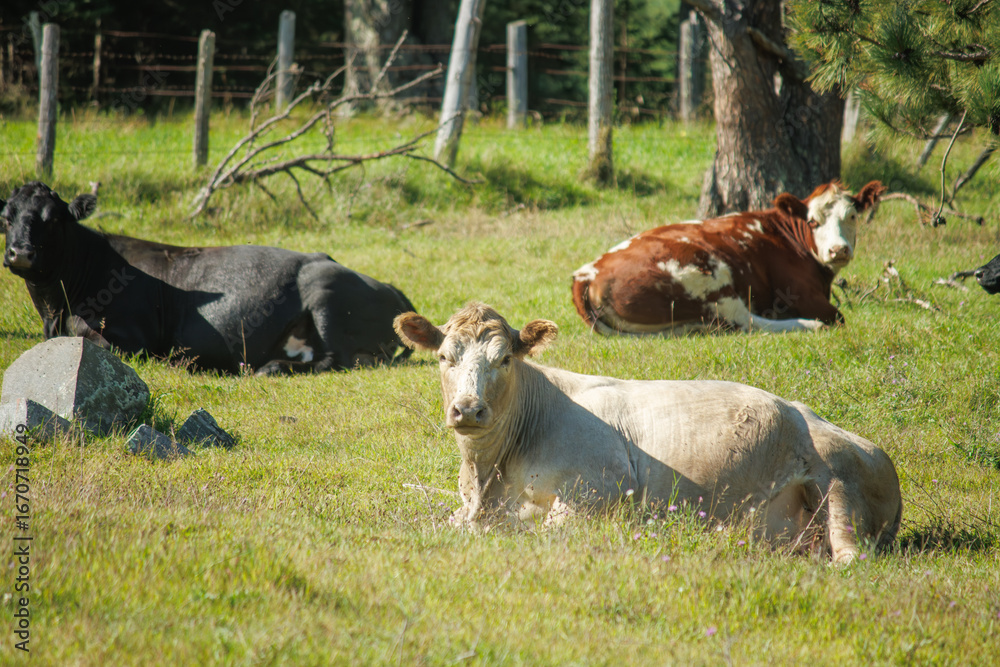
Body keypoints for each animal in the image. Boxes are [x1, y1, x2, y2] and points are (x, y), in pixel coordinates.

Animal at [2, 182, 415, 375]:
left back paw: (269, 368)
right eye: (6, 217)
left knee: (336, 359)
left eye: (53, 218)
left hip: (325, 295)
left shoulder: (134, 340)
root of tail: (391, 287)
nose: (20, 253)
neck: (57, 308)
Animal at [394, 302, 902, 564]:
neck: (490, 478)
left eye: (504, 359)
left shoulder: (600, 487)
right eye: (444, 357)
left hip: (837, 481)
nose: (467, 408)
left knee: (849, 554)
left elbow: (542, 532)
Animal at [572, 181, 886, 335]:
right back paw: (810, 325)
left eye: (852, 216)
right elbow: (839, 316)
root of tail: (586, 272)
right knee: (747, 322)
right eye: (813, 221)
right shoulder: (801, 292)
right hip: (710, 279)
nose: (838, 250)